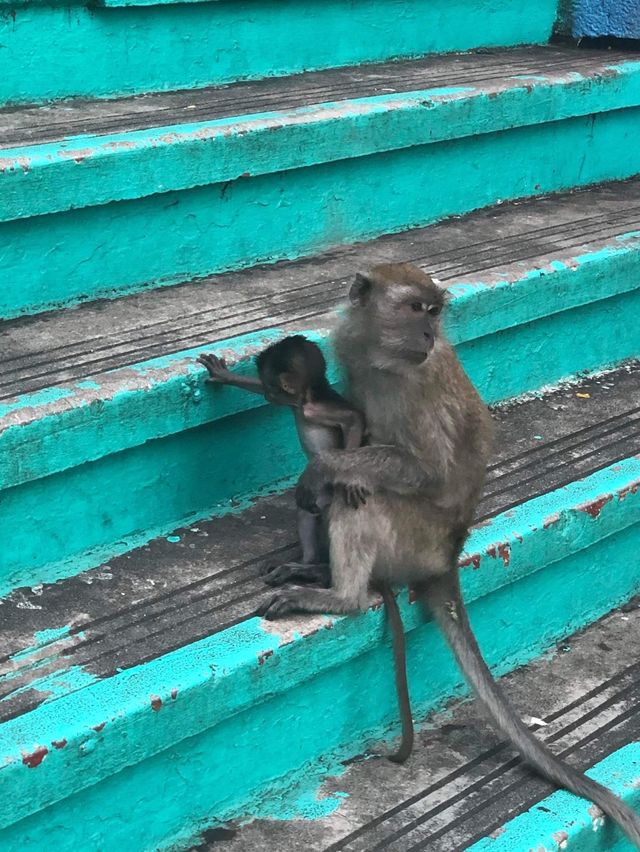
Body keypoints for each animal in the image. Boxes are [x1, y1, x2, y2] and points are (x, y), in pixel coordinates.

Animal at [198, 336, 412, 764]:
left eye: (272, 385)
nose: (269, 393)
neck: (306, 399)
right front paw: (225, 374)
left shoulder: (324, 410)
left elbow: (355, 424)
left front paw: (350, 477)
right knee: (306, 510)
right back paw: (308, 566)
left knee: (319, 501)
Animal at [258, 262, 640, 844]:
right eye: (417, 310)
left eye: (435, 312)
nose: (427, 335)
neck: (383, 356)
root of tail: (448, 555)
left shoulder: (416, 386)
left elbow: (424, 469)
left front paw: (325, 470)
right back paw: (317, 564)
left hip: (413, 538)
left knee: (364, 499)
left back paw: (340, 594)